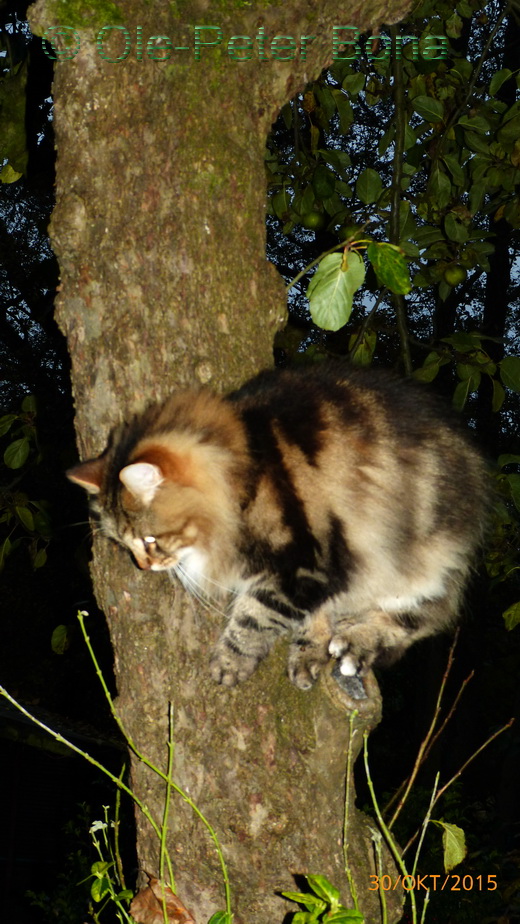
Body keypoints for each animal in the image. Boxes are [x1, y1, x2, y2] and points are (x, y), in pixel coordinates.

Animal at [66, 364, 488, 696]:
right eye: (126, 544)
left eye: (150, 540)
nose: (144, 566)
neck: (245, 469)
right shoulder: (322, 575)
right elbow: (312, 614)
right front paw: (308, 649)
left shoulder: (304, 564)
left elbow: (254, 617)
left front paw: (229, 664)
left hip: (426, 571)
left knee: (416, 621)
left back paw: (354, 644)